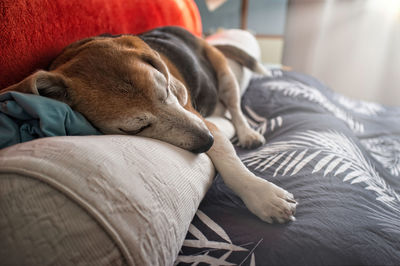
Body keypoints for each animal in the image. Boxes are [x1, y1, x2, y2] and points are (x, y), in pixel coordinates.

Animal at [2, 26, 296, 222]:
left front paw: (262, 195)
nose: (207, 141)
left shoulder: (198, 117)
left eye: (165, 89)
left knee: (235, 109)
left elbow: (230, 161)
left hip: (224, 75)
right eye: (136, 129)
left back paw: (247, 133)